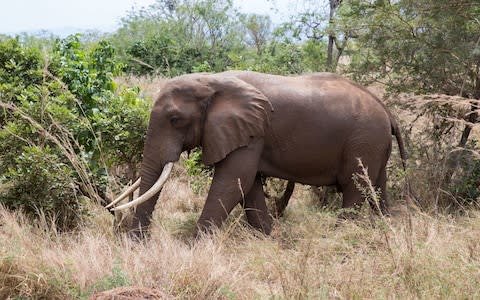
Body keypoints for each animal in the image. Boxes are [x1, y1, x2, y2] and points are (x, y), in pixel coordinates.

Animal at [107, 70, 406, 237]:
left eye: (175, 120)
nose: (139, 243)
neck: (211, 80)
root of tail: (387, 110)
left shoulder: (251, 131)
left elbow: (233, 181)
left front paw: (193, 247)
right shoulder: (247, 133)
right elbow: (248, 186)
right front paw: (267, 239)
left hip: (364, 140)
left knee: (355, 189)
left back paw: (339, 237)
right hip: (373, 144)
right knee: (377, 190)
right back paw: (387, 233)